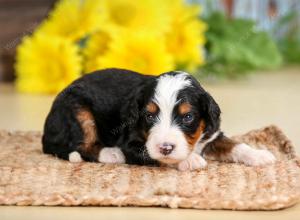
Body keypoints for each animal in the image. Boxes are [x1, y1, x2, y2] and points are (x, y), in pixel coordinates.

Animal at [42, 68, 276, 171]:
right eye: (149, 115)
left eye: (188, 116)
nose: (166, 146)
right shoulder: (130, 142)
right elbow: (155, 155)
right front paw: (189, 160)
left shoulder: (210, 134)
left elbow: (235, 145)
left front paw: (259, 155)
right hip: (78, 110)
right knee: (81, 145)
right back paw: (111, 154)